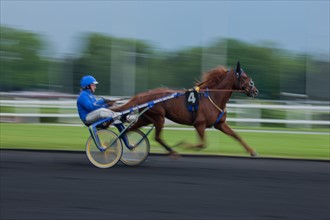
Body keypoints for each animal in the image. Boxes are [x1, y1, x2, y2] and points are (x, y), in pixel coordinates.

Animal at [112, 62, 260, 156]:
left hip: (146, 118)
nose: (255, 91)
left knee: (128, 130)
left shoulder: (220, 123)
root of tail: (143, 95)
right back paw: (172, 151)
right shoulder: (199, 124)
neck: (213, 96)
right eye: (245, 77)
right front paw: (182, 144)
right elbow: (202, 145)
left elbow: (236, 135)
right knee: (157, 137)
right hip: (158, 117)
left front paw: (252, 151)